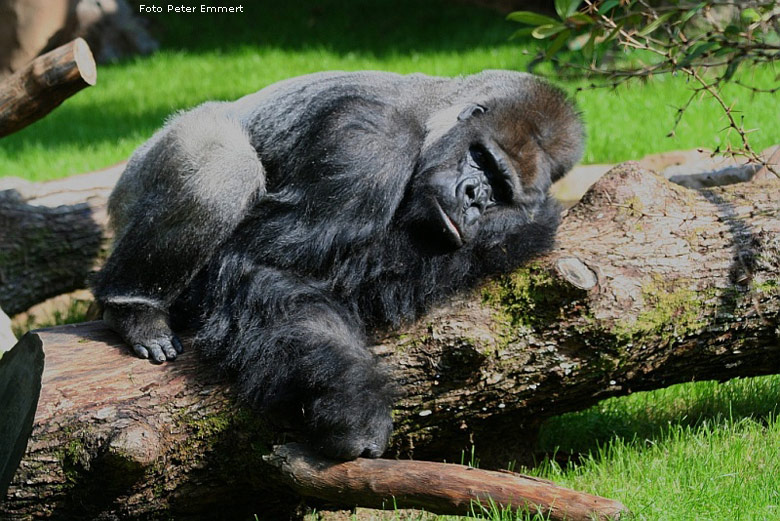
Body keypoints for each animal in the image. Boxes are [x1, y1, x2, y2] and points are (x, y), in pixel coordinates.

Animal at [93, 69, 580, 460]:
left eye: (502, 188)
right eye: (483, 159)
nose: (475, 197)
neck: (432, 115)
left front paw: (515, 232)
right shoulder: (366, 142)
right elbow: (269, 263)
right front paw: (354, 404)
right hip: (143, 170)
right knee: (222, 169)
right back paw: (133, 310)